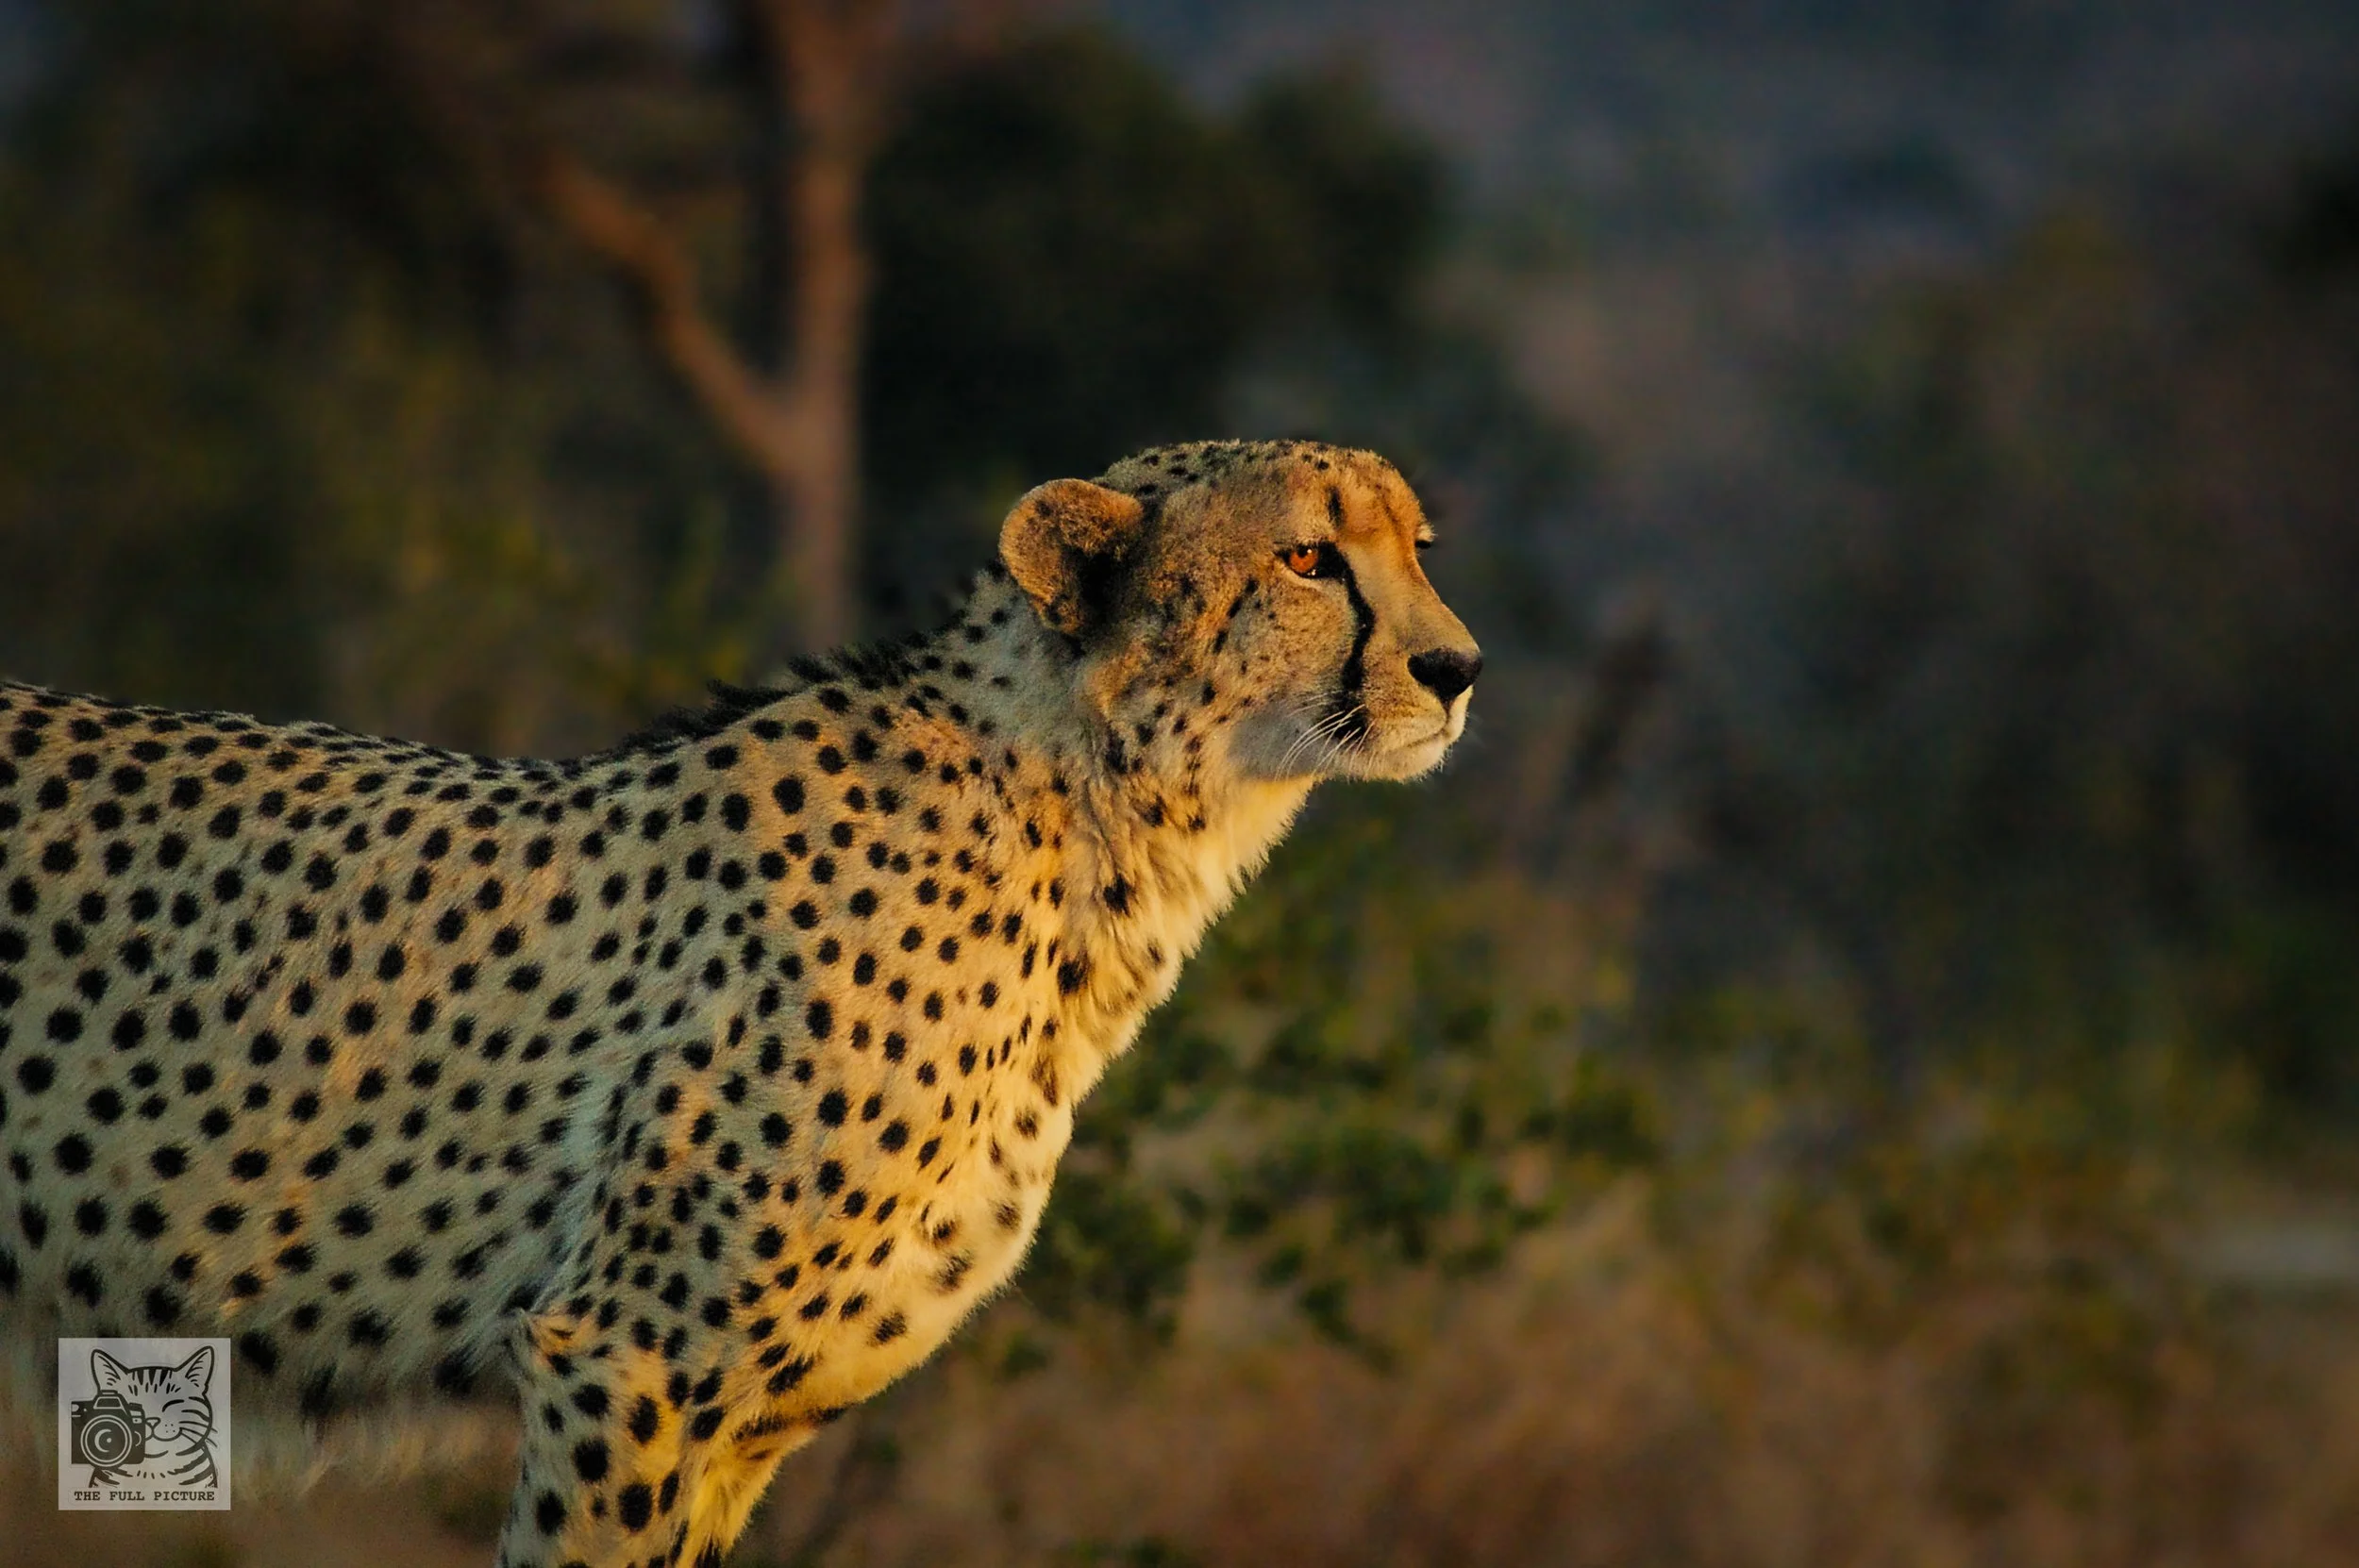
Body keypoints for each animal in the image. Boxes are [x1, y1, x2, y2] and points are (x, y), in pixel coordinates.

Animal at [0, 438, 1482, 1566]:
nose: (1457, 670)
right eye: (1309, 558)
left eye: (1420, 547)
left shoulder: (742, 1418)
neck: (1094, 826)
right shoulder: (630, 1362)